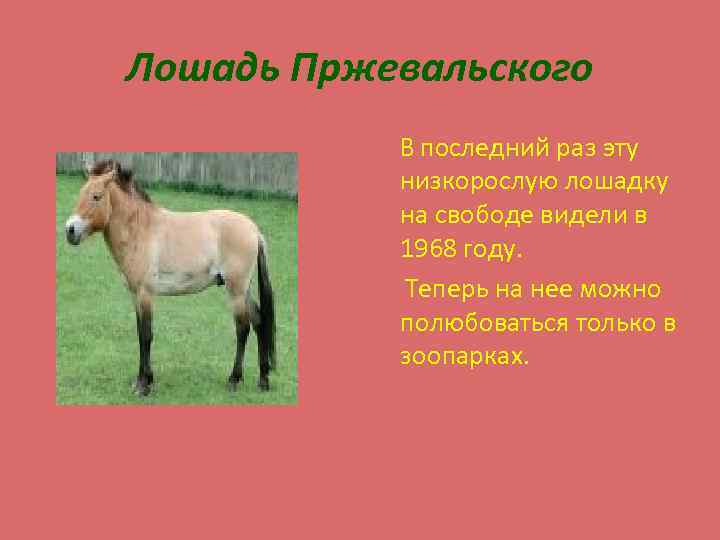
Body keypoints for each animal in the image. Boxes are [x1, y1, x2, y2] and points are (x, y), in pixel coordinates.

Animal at [64, 159, 276, 396]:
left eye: (96, 196)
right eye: (81, 193)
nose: (70, 230)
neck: (140, 230)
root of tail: (254, 231)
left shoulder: (145, 294)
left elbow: (146, 335)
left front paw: (144, 385)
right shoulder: (135, 295)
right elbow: (140, 334)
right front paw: (141, 380)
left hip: (236, 290)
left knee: (243, 328)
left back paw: (234, 380)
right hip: (244, 290)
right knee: (259, 321)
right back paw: (263, 380)